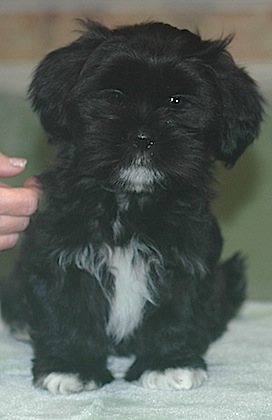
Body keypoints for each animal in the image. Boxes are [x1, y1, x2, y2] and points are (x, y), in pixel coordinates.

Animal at [0, 20, 264, 394]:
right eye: (114, 95)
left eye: (177, 101)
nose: (142, 136)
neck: (130, 200)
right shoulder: (63, 255)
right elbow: (68, 309)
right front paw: (71, 366)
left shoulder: (186, 260)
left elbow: (176, 311)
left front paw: (169, 363)